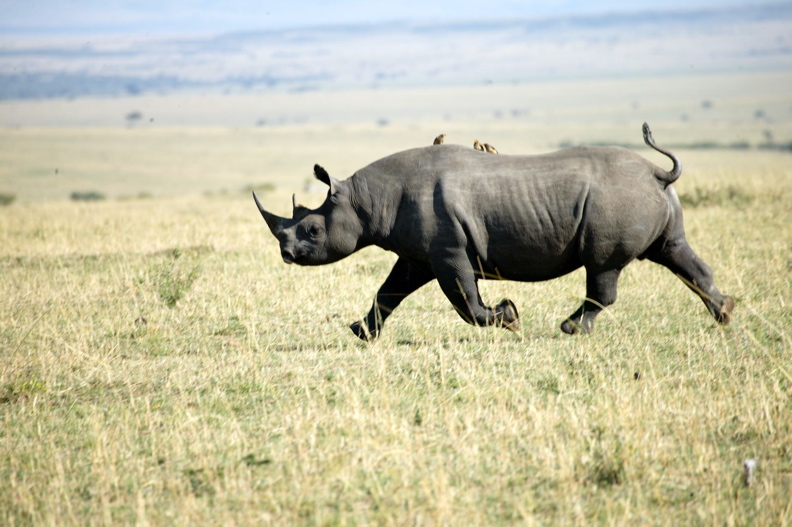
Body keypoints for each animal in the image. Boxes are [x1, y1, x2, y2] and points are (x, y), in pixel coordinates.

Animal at [253, 123, 734, 340]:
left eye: (312, 230)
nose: (286, 255)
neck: (364, 199)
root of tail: (657, 173)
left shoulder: (448, 250)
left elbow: (464, 299)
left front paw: (509, 316)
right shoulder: (419, 254)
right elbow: (390, 290)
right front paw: (361, 332)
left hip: (616, 200)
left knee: (603, 269)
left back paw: (570, 329)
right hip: (649, 199)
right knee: (674, 251)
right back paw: (724, 313)